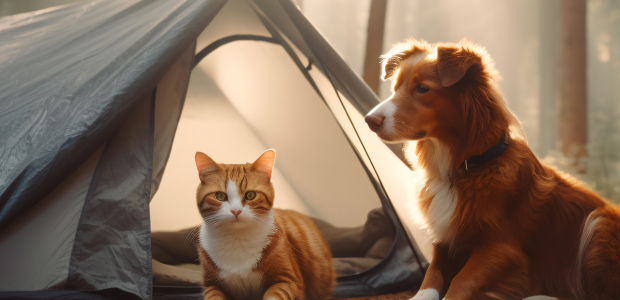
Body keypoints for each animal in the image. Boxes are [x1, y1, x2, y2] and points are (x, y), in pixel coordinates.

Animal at [195, 150, 336, 300]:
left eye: (250, 195)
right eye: (220, 196)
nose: (235, 211)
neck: (237, 240)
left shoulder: (289, 280)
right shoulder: (211, 285)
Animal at [364, 39, 620, 300]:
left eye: (422, 88)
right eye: (396, 88)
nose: (369, 120)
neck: (465, 168)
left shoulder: (502, 248)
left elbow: (460, 281)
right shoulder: (445, 237)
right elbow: (432, 275)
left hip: (599, 224)